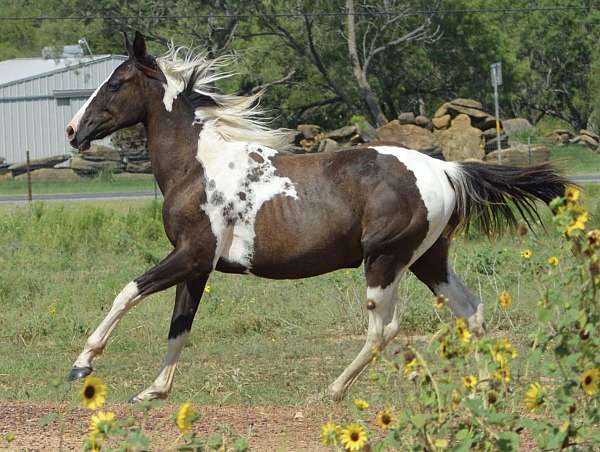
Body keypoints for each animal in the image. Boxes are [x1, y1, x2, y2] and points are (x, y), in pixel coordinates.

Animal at [65, 32, 568, 402]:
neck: (198, 166)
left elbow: (127, 293)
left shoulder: (190, 255)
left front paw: (82, 364)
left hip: (385, 261)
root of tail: (445, 168)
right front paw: (153, 390)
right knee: (471, 311)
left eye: (115, 83)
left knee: (385, 328)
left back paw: (334, 389)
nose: (73, 130)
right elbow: (179, 327)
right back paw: (484, 387)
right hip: (429, 260)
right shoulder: (197, 267)